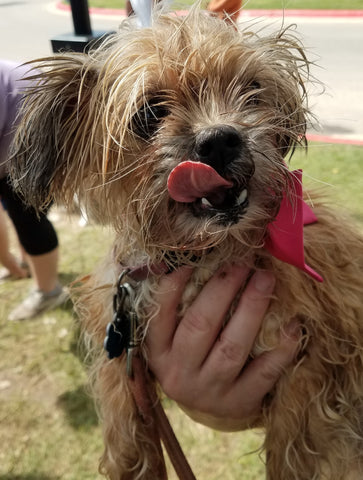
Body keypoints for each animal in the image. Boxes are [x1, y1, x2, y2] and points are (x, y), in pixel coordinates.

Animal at [8, 6, 363, 480]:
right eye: (149, 114)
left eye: (252, 91)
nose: (220, 139)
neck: (200, 256)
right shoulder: (122, 329)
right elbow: (119, 400)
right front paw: (130, 459)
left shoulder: (315, 356)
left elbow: (298, 433)